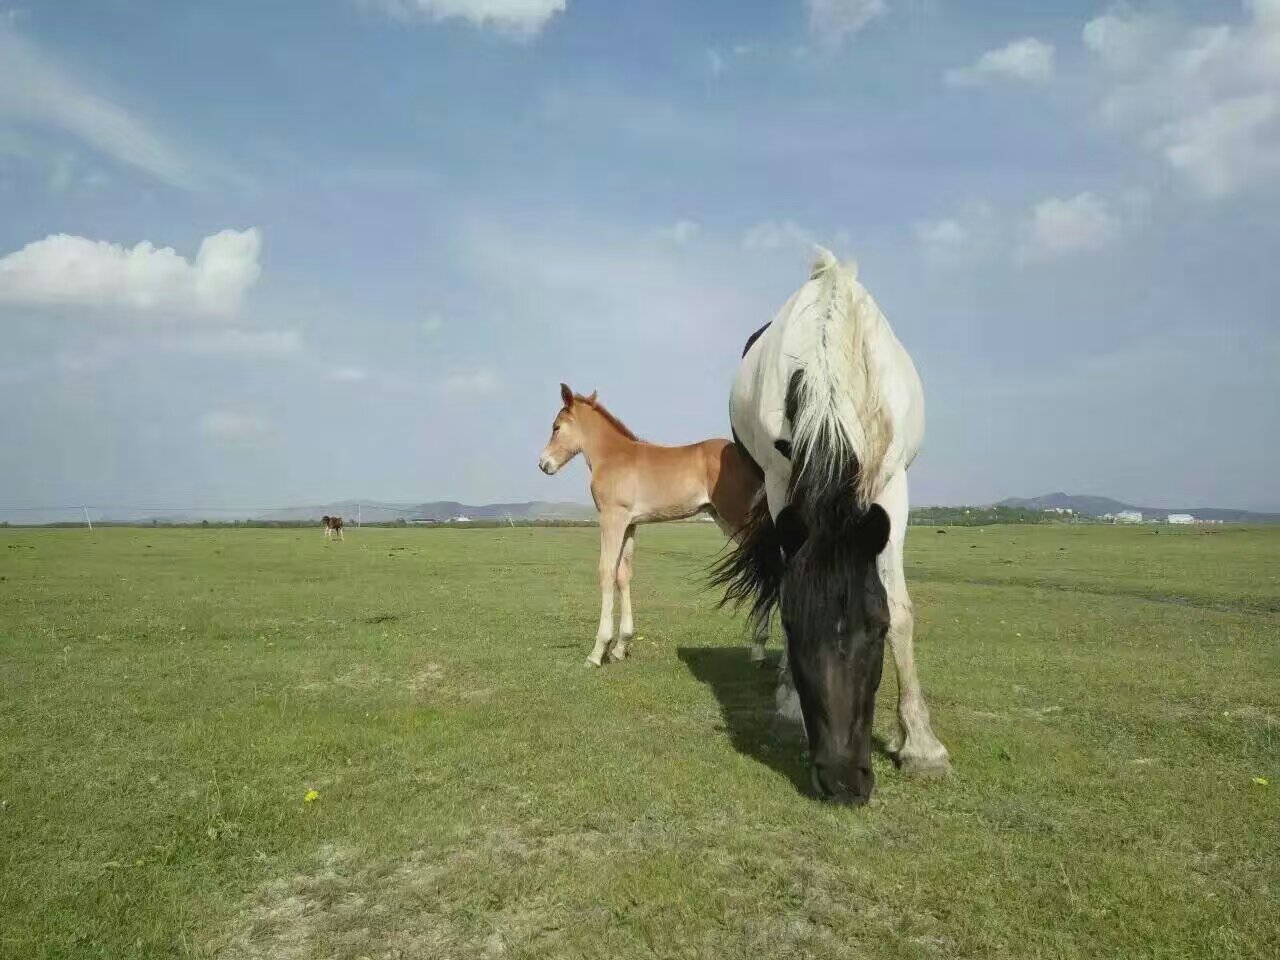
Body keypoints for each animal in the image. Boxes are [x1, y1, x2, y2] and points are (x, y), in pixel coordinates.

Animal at [537, 384, 762, 670]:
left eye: (556, 427)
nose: (543, 464)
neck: (613, 456)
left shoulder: (612, 518)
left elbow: (606, 572)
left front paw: (598, 651)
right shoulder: (630, 525)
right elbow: (623, 574)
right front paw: (621, 646)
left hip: (737, 517)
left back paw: (760, 650)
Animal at [711, 248, 952, 803]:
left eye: (877, 630)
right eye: (795, 628)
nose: (844, 782)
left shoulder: (891, 485)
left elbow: (902, 608)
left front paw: (921, 745)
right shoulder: (780, 482)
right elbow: (783, 585)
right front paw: (787, 705)